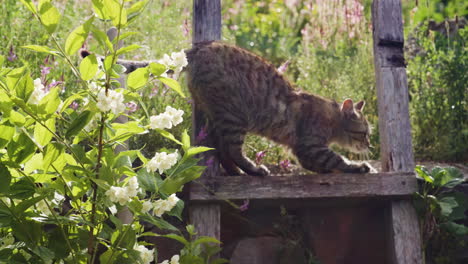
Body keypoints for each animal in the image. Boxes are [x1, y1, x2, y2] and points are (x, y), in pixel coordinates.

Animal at [83, 41, 372, 176]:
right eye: (365, 133)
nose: (369, 145)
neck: (332, 118)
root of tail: (200, 46)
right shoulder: (309, 147)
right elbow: (336, 160)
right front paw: (360, 166)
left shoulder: (307, 152)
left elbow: (329, 164)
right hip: (235, 117)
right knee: (230, 148)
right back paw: (253, 170)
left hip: (216, 113)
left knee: (218, 147)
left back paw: (234, 172)